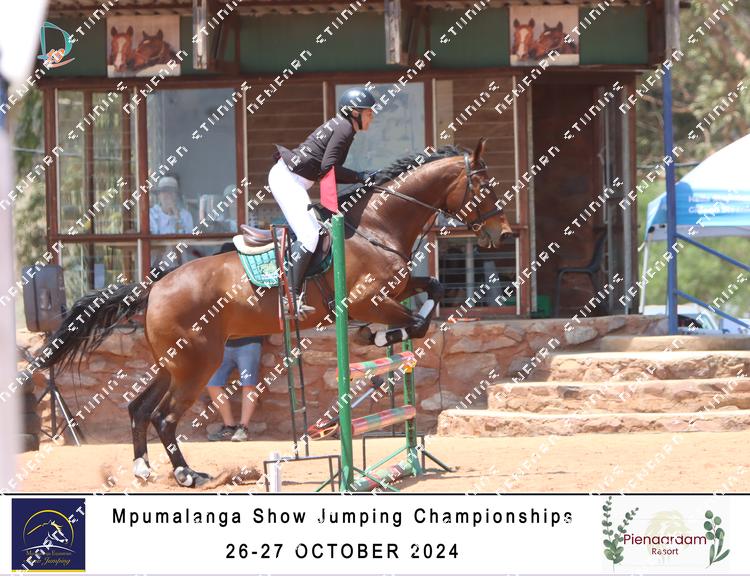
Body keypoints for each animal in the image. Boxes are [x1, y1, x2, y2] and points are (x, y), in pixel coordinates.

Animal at [39, 139, 513, 488]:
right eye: (485, 187)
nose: (503, 234)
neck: (376, 226)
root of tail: (152, 287)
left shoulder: (396, 289)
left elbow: (432, 291)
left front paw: (384, 336)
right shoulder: (366, 300)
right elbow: (415, 321)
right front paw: (377, 336)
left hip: (172, 363)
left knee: (139, 409)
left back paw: (143, 469)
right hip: (198, 363)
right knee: (165, 417)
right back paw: (187, 474)